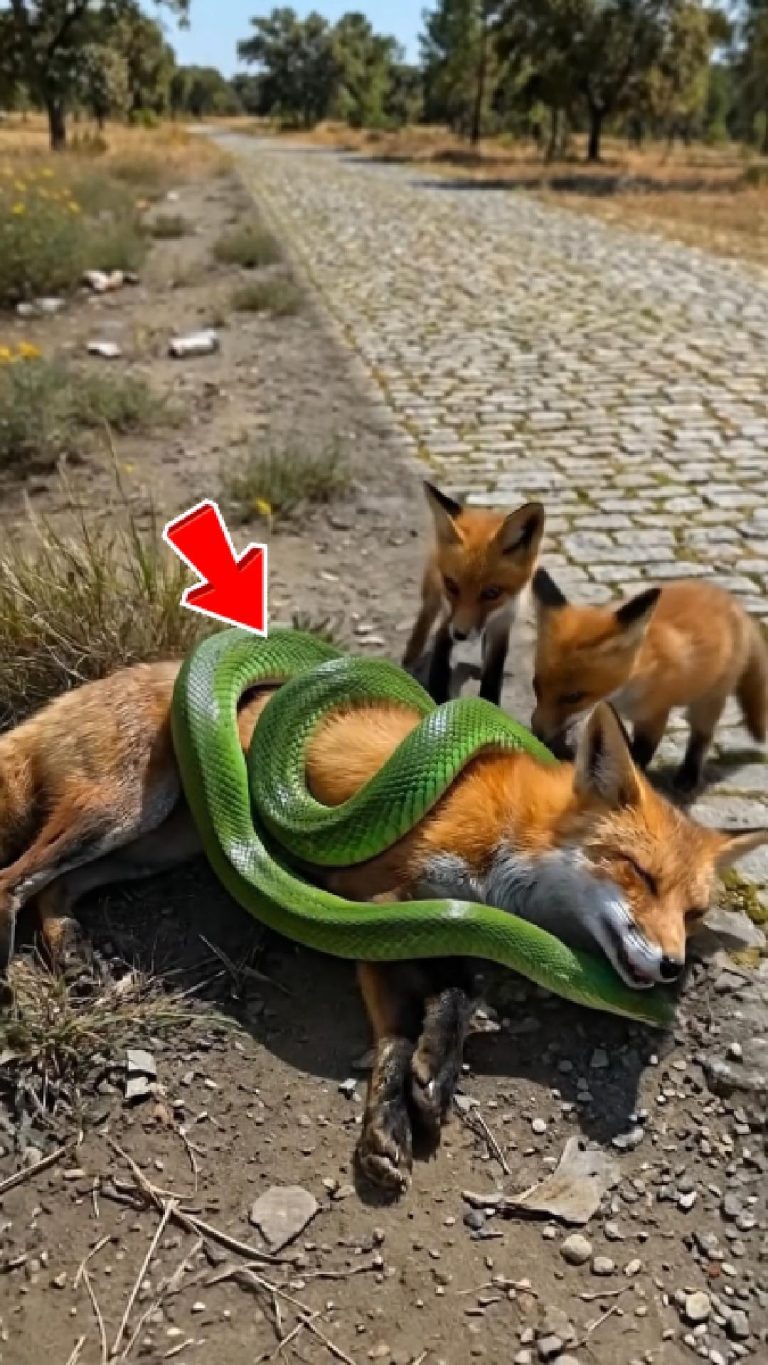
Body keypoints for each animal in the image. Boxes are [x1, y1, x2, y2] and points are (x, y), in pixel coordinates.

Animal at [0, 662, 765, 1193]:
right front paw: (401, 1105)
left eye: (694, 914)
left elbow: (447, 1000)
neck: (511, 841)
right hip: (124, 813)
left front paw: (425, 1082)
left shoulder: (430, 919)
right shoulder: (376, 899)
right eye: (641, 874)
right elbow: (412, 1019)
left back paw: (69, 949)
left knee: (54, 887)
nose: (672, 965)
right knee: (16, 878)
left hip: (161, 842)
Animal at [402, 481, 545, 706]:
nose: (460, 634)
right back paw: (412, 652)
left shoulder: (502, 624)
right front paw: (438, 698)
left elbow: (493, 673)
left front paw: (490, 702)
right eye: (451, 585)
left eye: (492, 593)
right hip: (432, 591)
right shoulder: (448, 617)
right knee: (426, 615)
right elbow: (440, 661)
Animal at [530, 569, 768, 793]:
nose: (537, 733)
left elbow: (641, 754)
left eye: (574, 697)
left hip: (708, 700)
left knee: (702, 738)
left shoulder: (654, 715)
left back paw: (688, 775)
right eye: (536, 686)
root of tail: (735, 605)